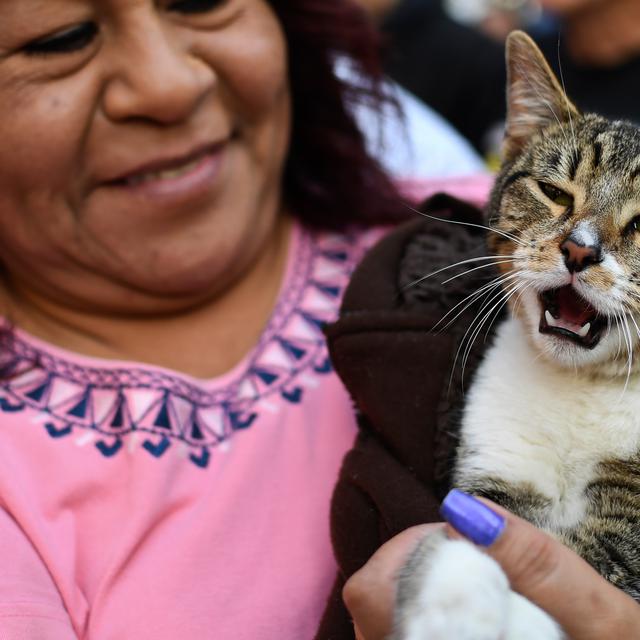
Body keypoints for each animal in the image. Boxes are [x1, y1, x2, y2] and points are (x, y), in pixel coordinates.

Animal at [392, 31, 640, 640]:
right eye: (555, 192)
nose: (579, 250)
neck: (582, 389)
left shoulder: (628, 548)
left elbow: (576, 566)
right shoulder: (497, 475)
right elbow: (464, 536)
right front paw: (451, 603)